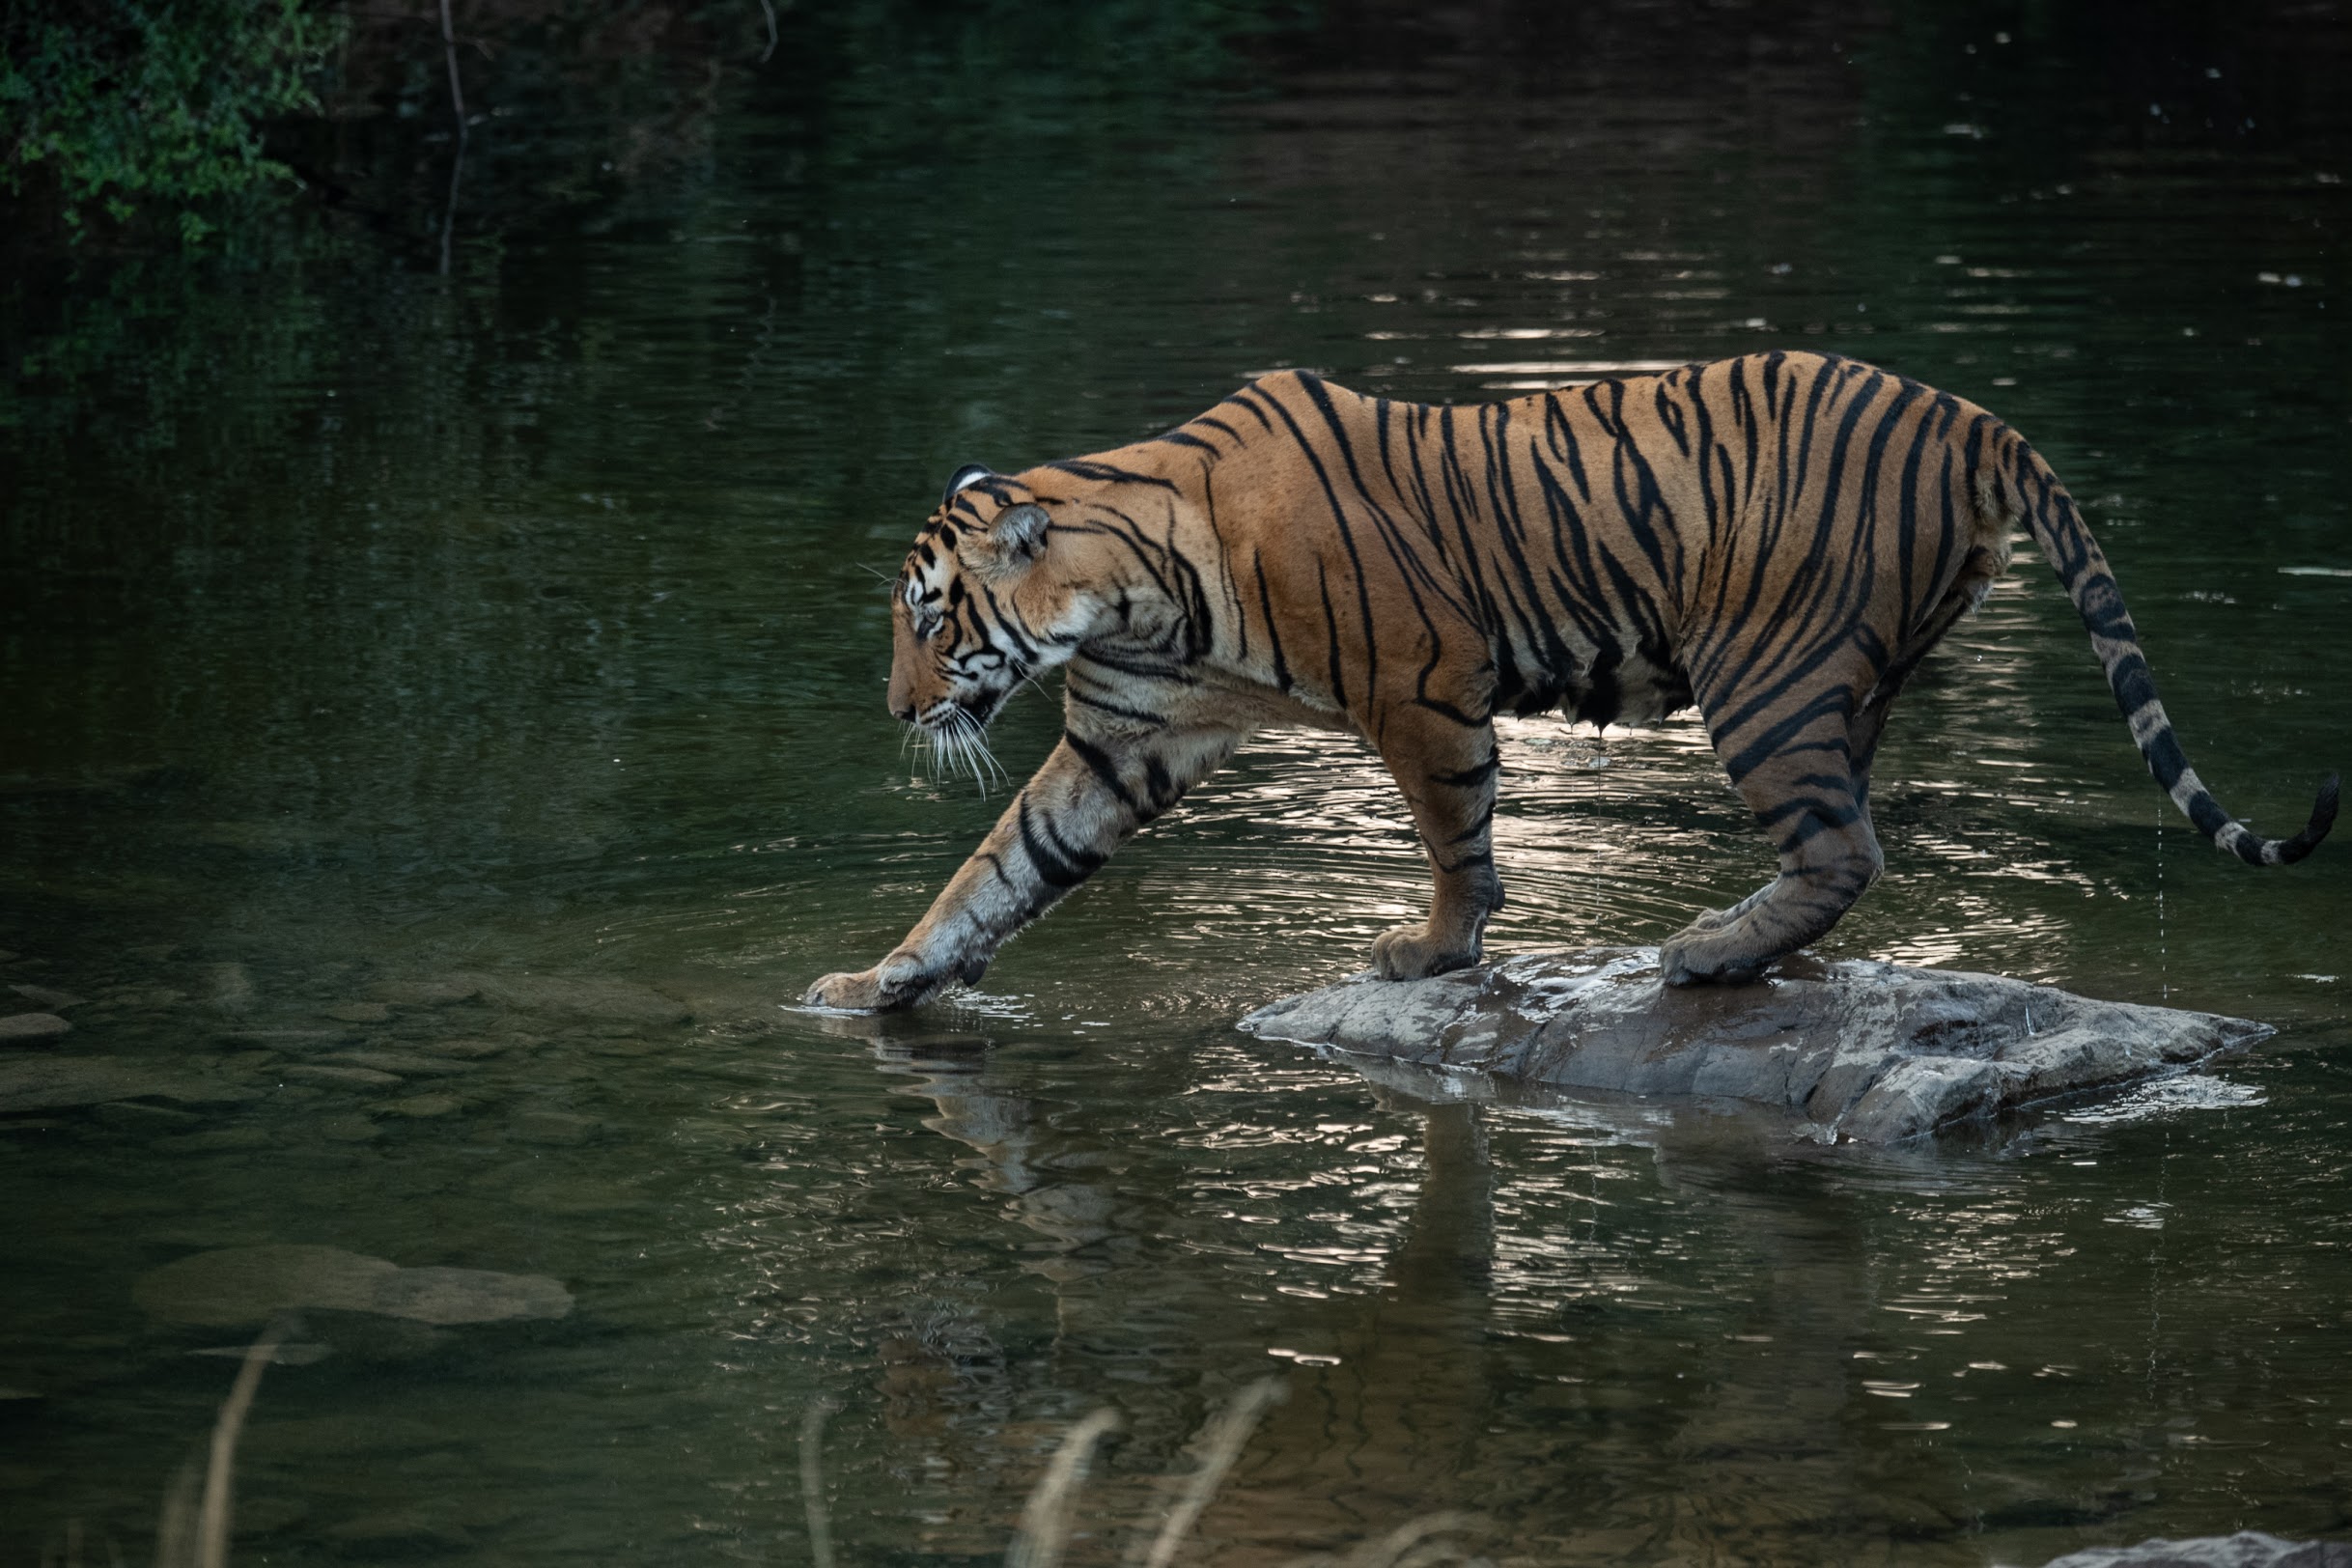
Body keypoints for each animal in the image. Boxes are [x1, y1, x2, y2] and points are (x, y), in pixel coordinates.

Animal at [804, 354, 2333, 1010]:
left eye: (930, 622)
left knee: (1843, 844)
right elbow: (998, 871)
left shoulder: (1423, 686)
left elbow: (1458, 844)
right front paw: (877, 982)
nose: (895, 712)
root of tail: (1969, 416)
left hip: (1764, 671)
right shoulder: (1123, 740)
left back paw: (1705, 953)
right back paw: (1757, 950)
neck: (1127, 594)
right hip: (1848, 677)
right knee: (1847, 840)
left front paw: (1429, 954)